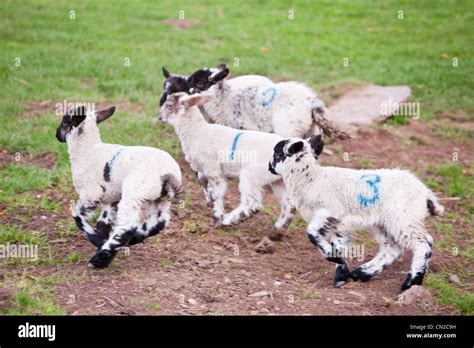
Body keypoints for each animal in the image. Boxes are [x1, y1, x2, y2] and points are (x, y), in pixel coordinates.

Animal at [54, 106, 182, 270]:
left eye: (65, 121)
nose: (57, 134)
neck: (89, 151)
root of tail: (168, 174)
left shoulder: (91, 193)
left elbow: (77, 215)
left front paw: (97, 240)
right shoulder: (110, 199)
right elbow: (103, 223)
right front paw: (102, 240)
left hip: (134, 193)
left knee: (128, 225)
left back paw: (100, 259)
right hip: (160, 197)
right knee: (159, 221)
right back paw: (133, 239)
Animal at [158, 92, 292, 228]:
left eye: (169, 105)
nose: (159, 117)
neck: (197, 131)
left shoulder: (212, 168)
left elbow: (217, 192)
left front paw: (218, 214)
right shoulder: (204, 168)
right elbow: (203, 182)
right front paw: (209, 202)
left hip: (252, 174)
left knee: (252, 201)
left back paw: (230, 219)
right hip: (277, 180)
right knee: (287, 202)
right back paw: (279, 226)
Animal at [270, 135, 444, 290]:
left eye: (277, 154)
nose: (269, 166)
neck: (310, 179)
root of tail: (425, 193)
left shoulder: (330, 211)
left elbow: (311, 233)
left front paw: (334, 259)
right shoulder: (340, 224)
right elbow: (338, 245)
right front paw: (340, 272)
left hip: (402, 218)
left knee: (422, 244)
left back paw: (411, 283)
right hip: (386, 222)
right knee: (393, 249)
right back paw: (361, 273)